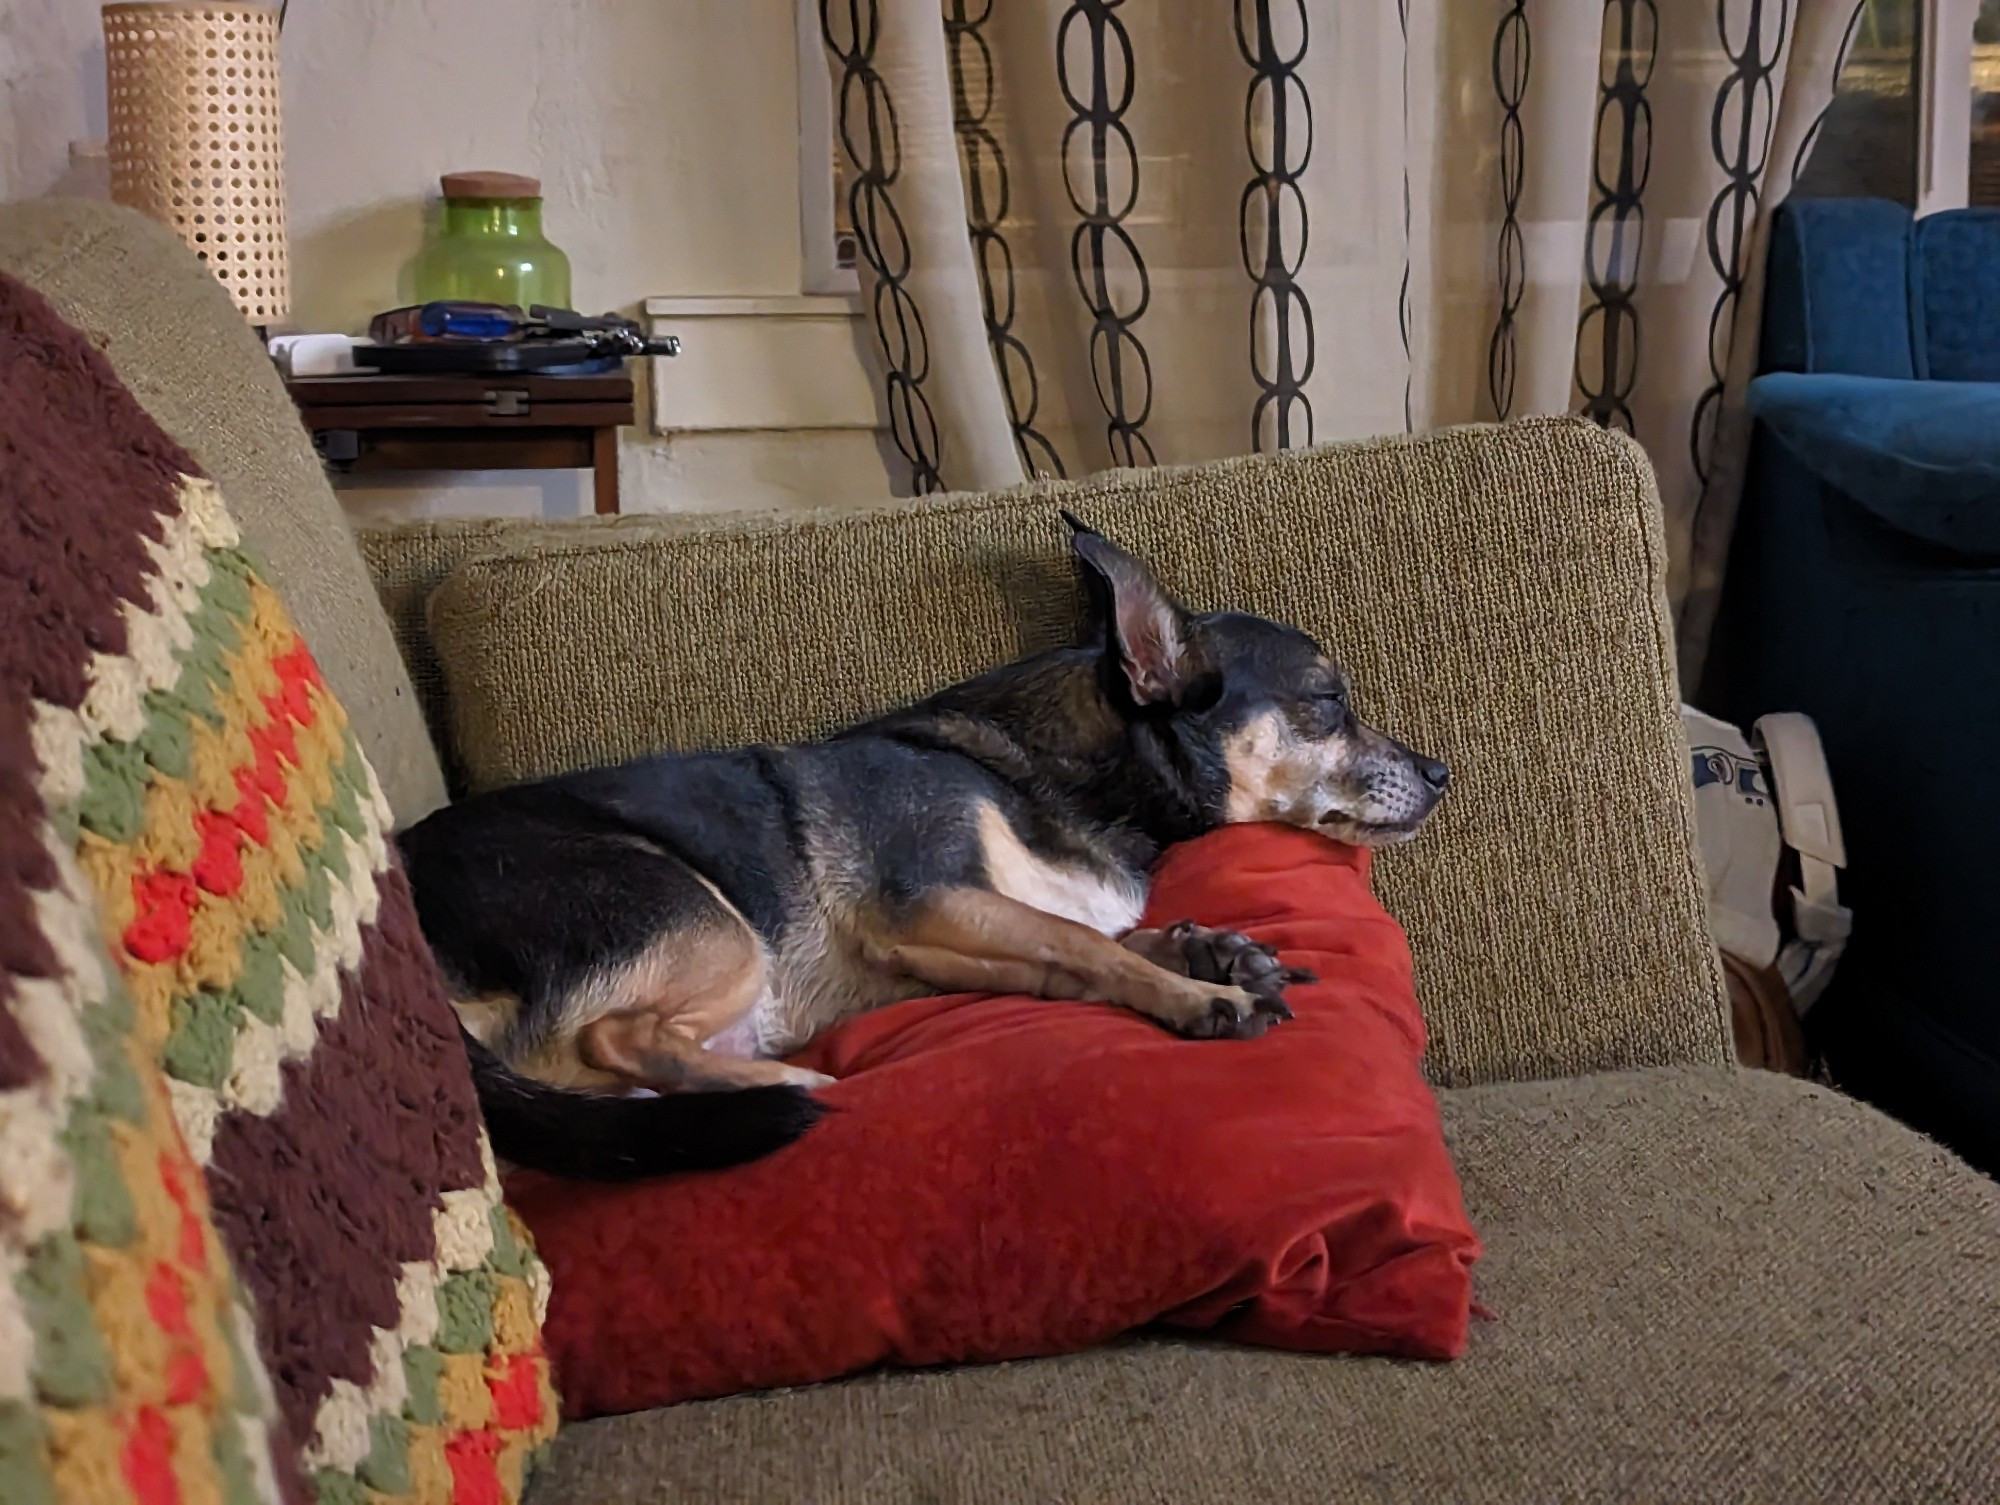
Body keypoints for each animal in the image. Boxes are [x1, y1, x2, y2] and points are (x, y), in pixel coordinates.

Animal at [398, 512, 1448, 1184]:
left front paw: (1211, 949)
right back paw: (793, 1080)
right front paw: (1204, 996)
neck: (1071, 781)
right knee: (614, 1037)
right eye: (1327, 701)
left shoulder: (957, 934)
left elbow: (1089, 946)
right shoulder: (931, 899)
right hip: (699, 917)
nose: (1441, 772)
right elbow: (1090, 943)